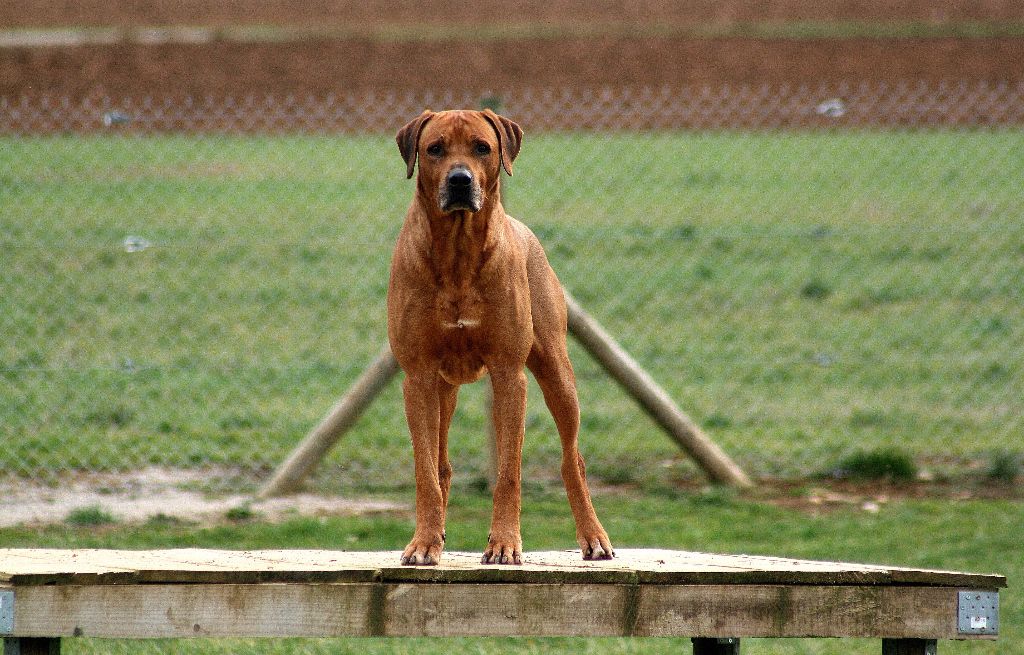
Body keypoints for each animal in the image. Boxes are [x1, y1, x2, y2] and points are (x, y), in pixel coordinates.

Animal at [388, 109, 614, 565]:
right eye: (434, 148)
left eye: (482, 148)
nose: (460, 180)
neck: (458, 253)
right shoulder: (418, 376)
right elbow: (425, 471)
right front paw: (424, 542)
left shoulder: (510, 374)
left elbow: (509, 470)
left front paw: (505, 543)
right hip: (443, 388)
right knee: (441, 465)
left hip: (557, 370)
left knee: (573, 460)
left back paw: (594, 536)